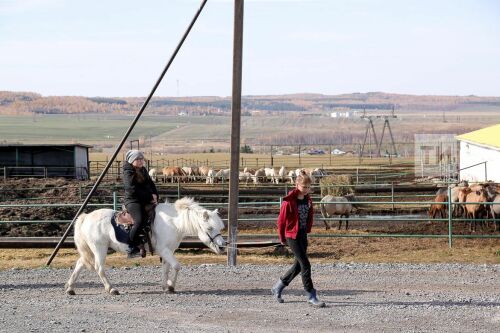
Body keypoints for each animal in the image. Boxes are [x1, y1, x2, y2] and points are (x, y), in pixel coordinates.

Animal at [65, 196, 226, 294]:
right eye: (209, 228)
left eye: (220, 227)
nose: (222, 246)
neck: (173, 222)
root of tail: (86, 217)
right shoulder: (164, 250)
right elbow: (176, 266)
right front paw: (171, 286)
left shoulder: (168, 251)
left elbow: (166, 268)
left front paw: (166, 286)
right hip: (99, 248)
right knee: (99, 268)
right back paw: (111, 289)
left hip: (92, 250)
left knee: (80, 264)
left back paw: (70, 288)